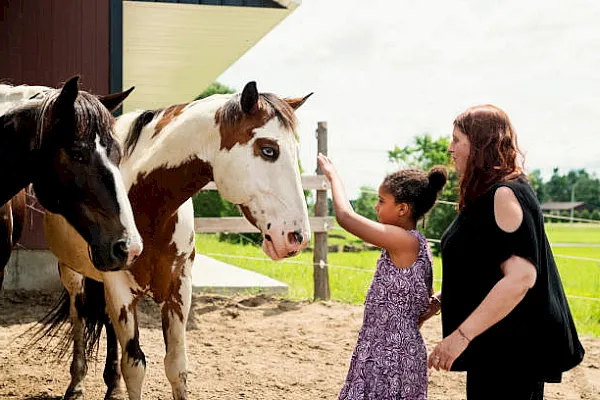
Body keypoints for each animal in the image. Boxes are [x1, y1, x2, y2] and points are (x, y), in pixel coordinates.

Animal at [42, 82, 312, 400]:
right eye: (268, 149)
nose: (297, 238)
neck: (148, 205)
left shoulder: (179, 288)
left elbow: (176, 365)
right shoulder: (119, 288)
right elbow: (135, 366)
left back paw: (112, 386)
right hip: (71, 273)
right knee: (78, 316)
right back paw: (76, 383)